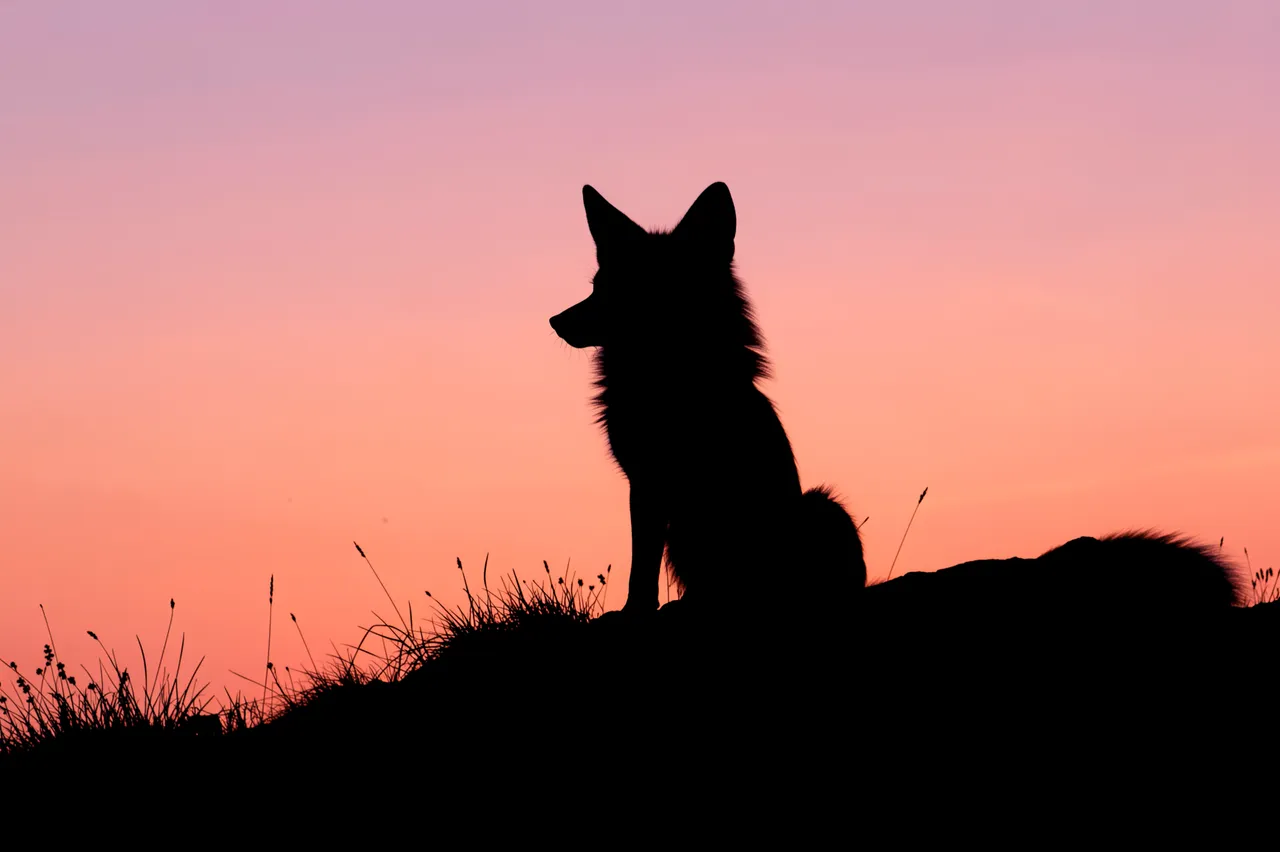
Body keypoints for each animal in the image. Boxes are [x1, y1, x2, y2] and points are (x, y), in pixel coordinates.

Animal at [550, 182, 865, 615]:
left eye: (617, 289)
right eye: (597, 286)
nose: (555, 321)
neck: (671, 374)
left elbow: (644, 565)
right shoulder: (645, 484)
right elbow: (642, 561)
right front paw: (638, 609)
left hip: (821, 506)